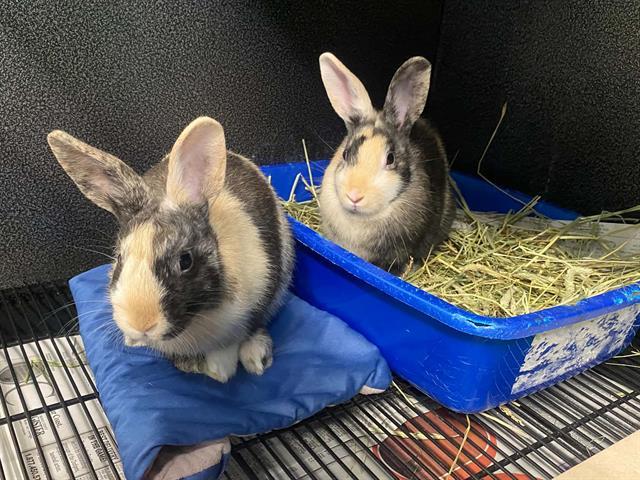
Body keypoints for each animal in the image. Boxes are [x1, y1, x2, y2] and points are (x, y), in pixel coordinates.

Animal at [47, 117, 294, 382]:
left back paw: (256, 359)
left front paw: (220, 372)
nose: (141, 325)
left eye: (185, 260)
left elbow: (229, 346)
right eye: (119, 258)